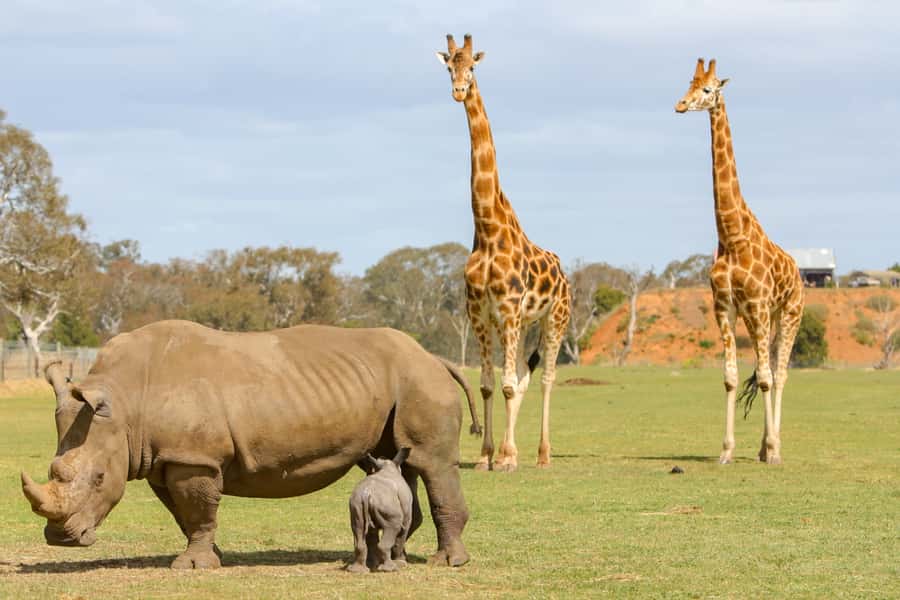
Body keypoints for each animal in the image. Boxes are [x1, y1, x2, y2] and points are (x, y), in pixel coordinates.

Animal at [21, 320, 480, 569]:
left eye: (99, 479)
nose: (60, 539)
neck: (125, 400)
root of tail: (435, 357)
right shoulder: (165, 459)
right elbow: (185, 515)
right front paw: (212, 555)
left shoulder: (195, 458)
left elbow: (198, 509)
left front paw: (193, 566)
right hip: (398, 385)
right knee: (397, 463)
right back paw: (389, 558)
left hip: (418, 380)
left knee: (432, 463)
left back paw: (446, 563)